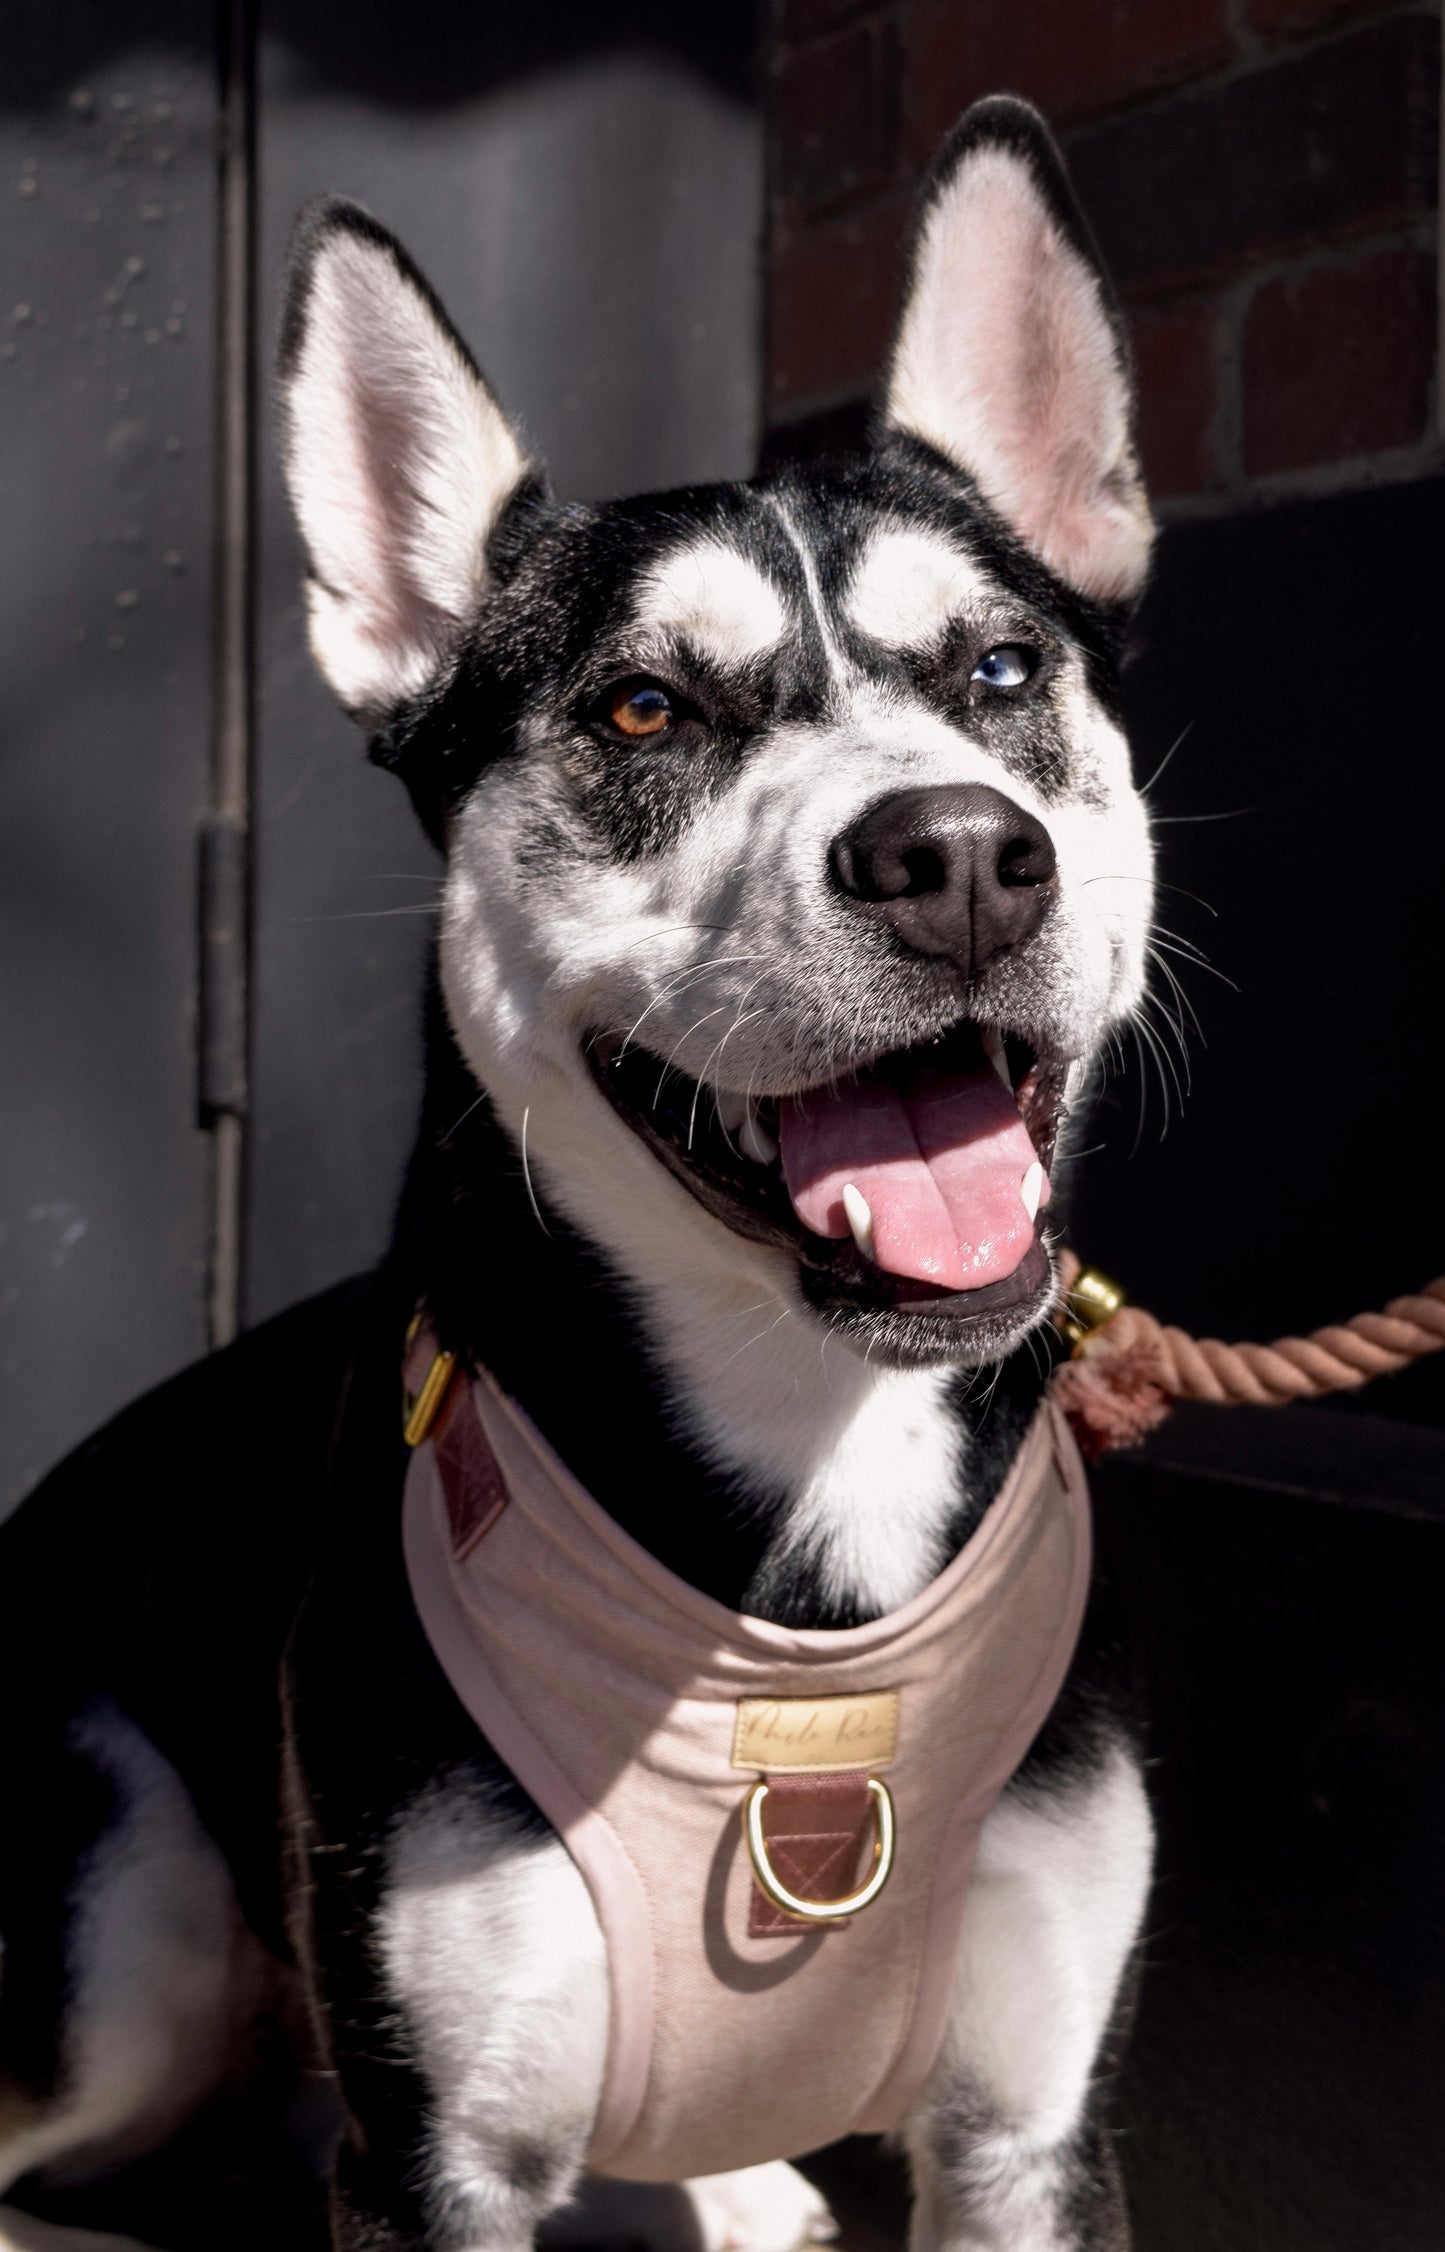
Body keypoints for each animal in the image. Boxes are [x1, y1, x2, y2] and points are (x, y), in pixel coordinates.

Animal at [0, 96, 1147, 2252]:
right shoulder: (436, 2153)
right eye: (642, 706)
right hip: (127, 1919)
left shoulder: (1029, 2134)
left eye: (1001, 671)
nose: (959, 855)